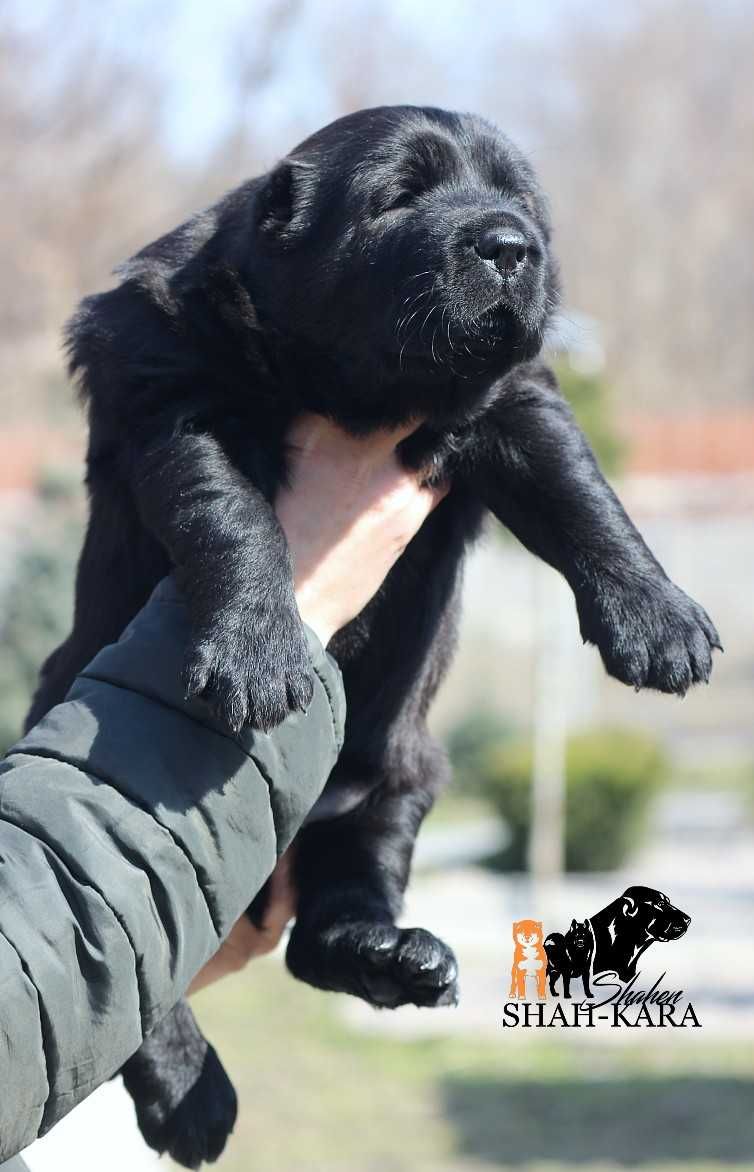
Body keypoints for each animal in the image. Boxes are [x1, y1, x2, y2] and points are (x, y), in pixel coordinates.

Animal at [26, 105, 719, 1165]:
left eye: (521, 202)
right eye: (399, 197)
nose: (511, 246)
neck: (366, 390)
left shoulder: (516, 395)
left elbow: (578, 489)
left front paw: (659, 617)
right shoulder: (175, 387)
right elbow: (231, 511)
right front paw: (259, 652)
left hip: (401, 777)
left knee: (328, 924)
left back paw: (397, 958)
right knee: (134, 974)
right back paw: (193, 1094)